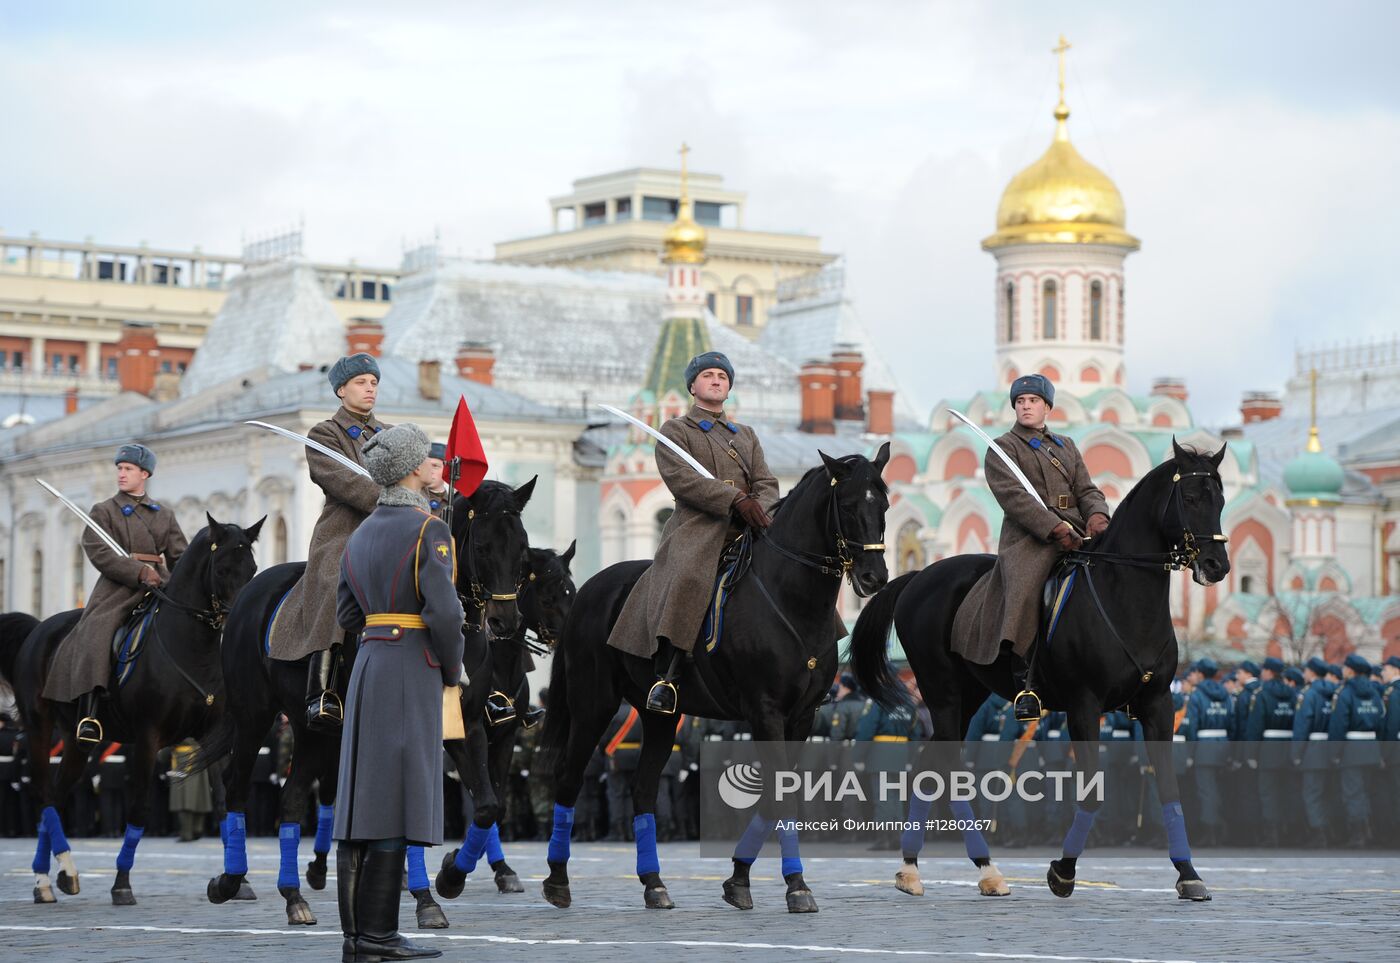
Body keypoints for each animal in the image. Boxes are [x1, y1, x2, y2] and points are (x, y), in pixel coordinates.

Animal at [0, 515, 263, 907]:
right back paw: (50, 878)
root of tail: (37, 629)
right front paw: (121, 883)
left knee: (58, 796)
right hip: (38, 729)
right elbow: (139, 807)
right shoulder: (147, 737)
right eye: (222, 568)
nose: (239, 624)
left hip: (76, 742)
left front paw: (237, 880)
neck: (191, 649)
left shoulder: (211, 735)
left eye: (253, 568)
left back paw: (56, 875)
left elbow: (222, 802)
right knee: (44, 795)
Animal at [191, 478, 529, 923]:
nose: (506, 622)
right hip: (254, 717)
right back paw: (231, 881)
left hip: (311, 731)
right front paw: (426, 892)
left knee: (292, 799)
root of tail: (250, 594)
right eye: (484, 547)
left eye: (522, 547)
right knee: (235, 788)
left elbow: (488, 806)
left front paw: (447, 879)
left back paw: (294, 897)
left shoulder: (467, 726)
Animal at [431, 543, 574, 901]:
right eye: (548, 597)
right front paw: (454, 865)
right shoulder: (470, 735)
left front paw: (500, 869)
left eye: (573, 591)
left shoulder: (506, 737)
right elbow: (484, 804)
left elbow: (495, 806)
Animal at [534, 447, 884, 912]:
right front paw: (793, 885)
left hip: (660, 716)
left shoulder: (801, 717)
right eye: (847, 505)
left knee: (643, 789)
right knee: (569, 778)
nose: (875, 577)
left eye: (883, 504)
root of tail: (589, 590)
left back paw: (653, 883)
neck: (792, 601)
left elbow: (779, 793)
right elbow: (779, 794)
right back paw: (557, 879)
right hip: (592, 706)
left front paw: (743, 878)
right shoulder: (765, 711)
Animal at [840, 445, 1226, 901]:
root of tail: (920, 575)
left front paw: (1188, 873)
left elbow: (1169, 788)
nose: (1217, 565)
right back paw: (980, 867)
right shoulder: (1083, 706)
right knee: (947, 772)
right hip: (942, 694)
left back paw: (914, 868)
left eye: (1220, 500)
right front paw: (1063, 871)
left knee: (927, 771)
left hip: (967, 697)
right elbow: (1091, 793)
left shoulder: (1158, 705)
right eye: (1191, 498)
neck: (1124, 597)